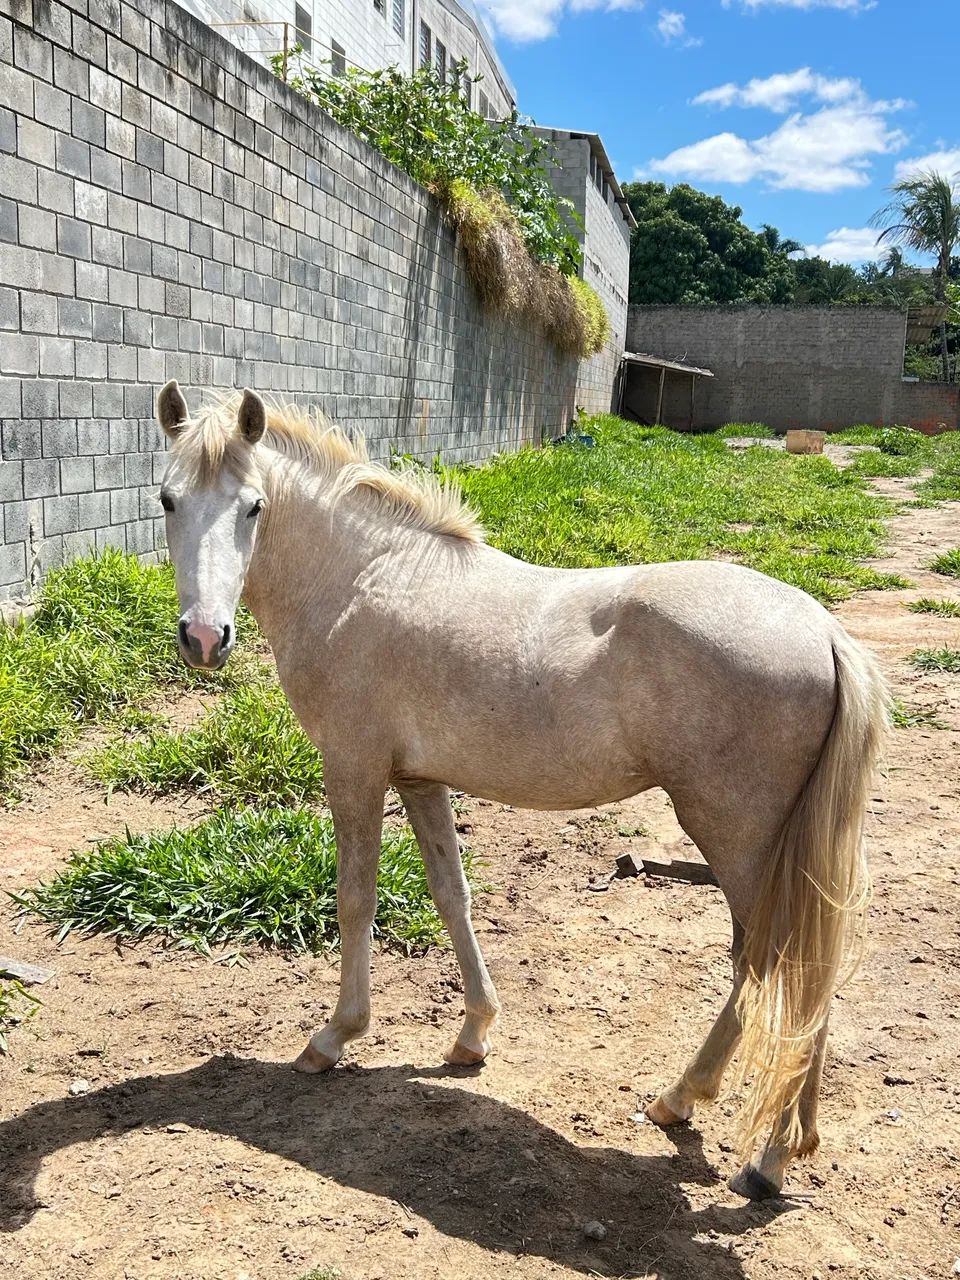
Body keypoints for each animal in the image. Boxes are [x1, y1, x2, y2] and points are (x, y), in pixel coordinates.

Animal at [155, 381, 887, 1201]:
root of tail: (826, 633)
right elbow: (453, 896)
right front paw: (472, 1034)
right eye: (168, 500)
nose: (204, 638)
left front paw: (334, 1036)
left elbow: (355, 901)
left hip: (740, 841)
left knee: (779, 966)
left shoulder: (354, 770)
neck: (362, 578)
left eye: (253, 506)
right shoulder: (420, 780)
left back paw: (763, 1154)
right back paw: (708, 1113)